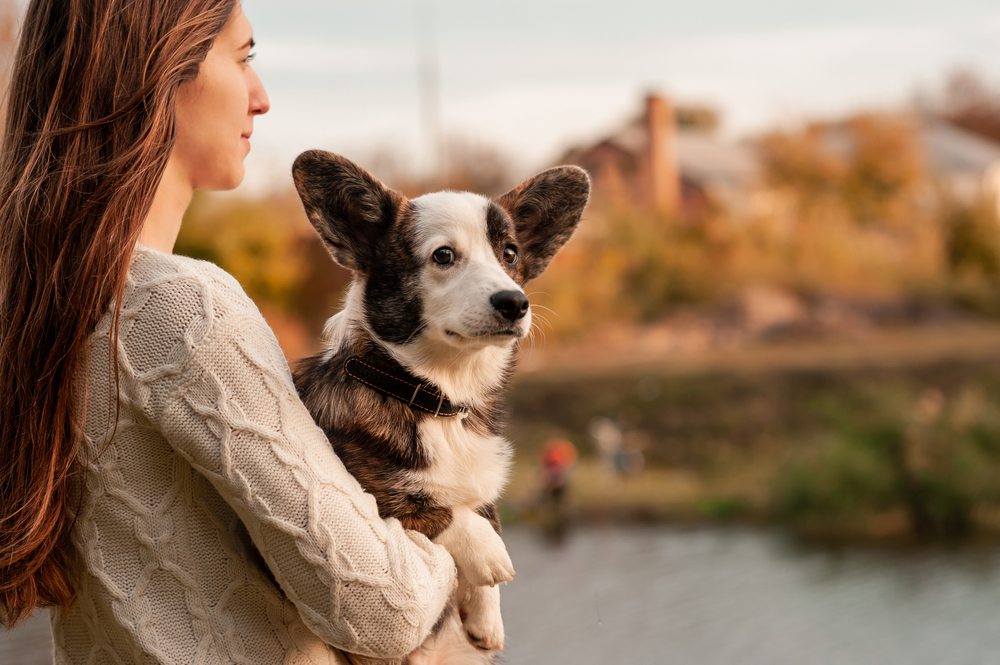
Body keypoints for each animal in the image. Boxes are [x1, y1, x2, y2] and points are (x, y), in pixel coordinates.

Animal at [290, 152, 584, 664]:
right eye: (443, 256)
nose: (515, 302)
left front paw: (486, 617)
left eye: (510, 254)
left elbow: (484, 509)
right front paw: (489, 554)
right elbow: (435, 507)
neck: (440, 399)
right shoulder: (364, 498)